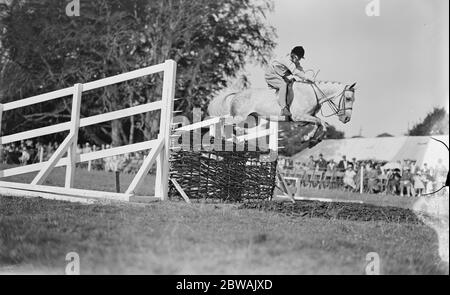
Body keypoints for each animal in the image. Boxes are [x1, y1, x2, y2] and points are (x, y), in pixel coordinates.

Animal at [209, 80, 356, 142]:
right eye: (348, 98)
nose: (347, 119)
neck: (313, 94)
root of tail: (237, 93)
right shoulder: (299, 116)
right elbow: (321, 123)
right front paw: (314, 139)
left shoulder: (304, 118)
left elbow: (318, 123)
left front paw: (308, 138)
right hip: (240, 117)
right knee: (222, 120)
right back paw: (225, 137)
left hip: (252, 119)